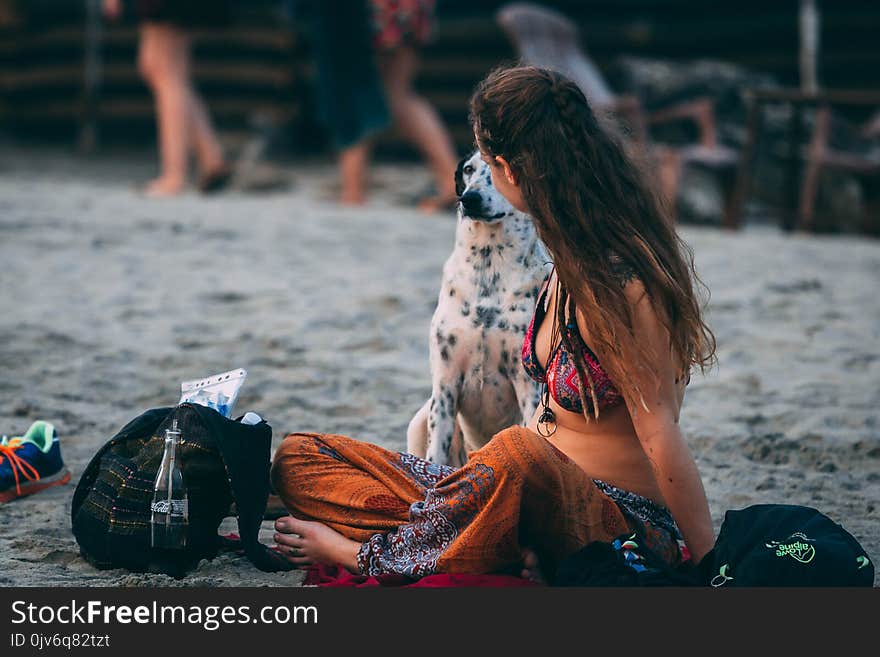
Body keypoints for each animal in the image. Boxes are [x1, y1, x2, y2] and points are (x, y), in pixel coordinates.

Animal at [406, 150, 552, 466]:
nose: (470, 198)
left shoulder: (528, 387)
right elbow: (435, 455)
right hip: (420, 419)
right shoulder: (445, 385)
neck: (488, 269)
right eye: (469, 169)